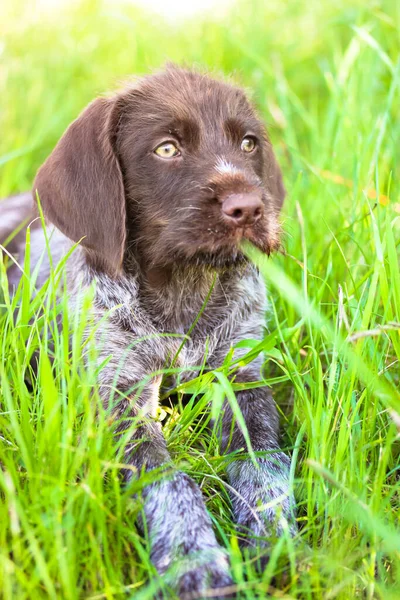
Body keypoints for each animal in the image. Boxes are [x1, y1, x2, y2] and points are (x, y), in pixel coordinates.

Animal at [1, 68, 296, 596]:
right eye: (166, 149)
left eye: (248, 143)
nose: (248, 208)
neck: (182, 291)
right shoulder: (120, 398)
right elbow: (167, 480)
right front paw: (192, 560)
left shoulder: (241, 375)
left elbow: (264, 458)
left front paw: (272, 532)